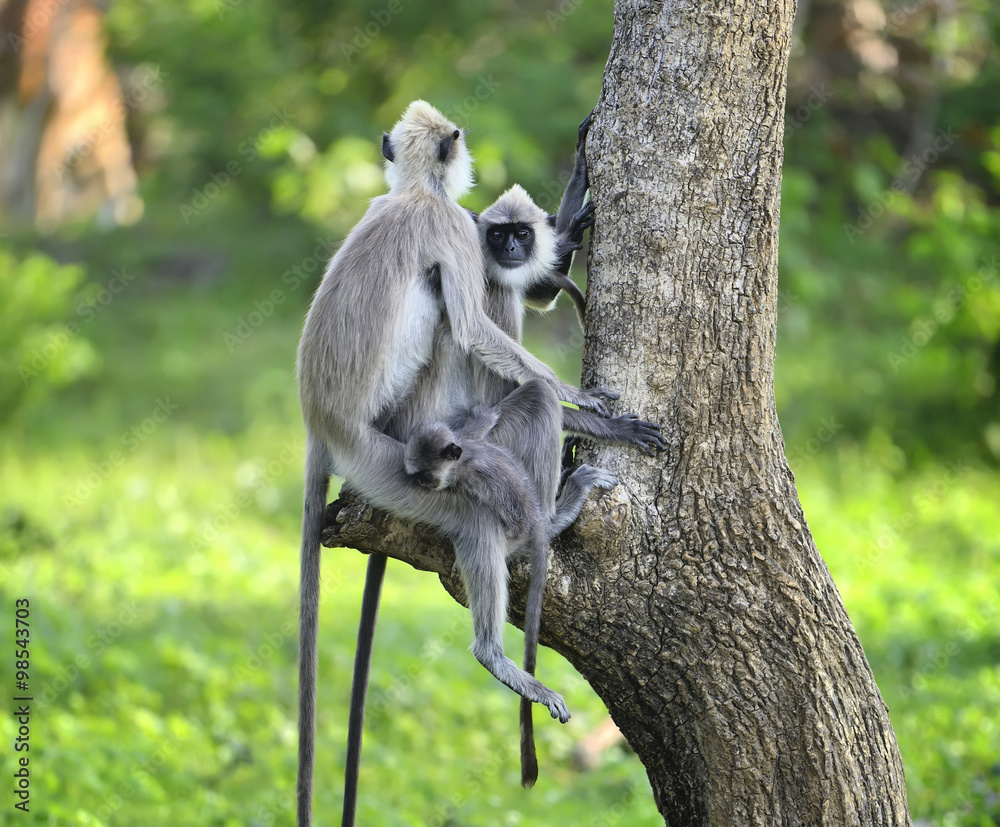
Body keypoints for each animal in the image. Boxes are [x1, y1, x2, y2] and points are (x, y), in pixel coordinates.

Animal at [294, 102, 616, 827]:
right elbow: (474, 329)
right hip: (398, 463)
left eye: (520, 234)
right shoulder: (456, 229)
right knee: (484, 495)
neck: (415, 192)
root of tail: (321, 425)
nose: (515, 248)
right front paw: (595, 410)